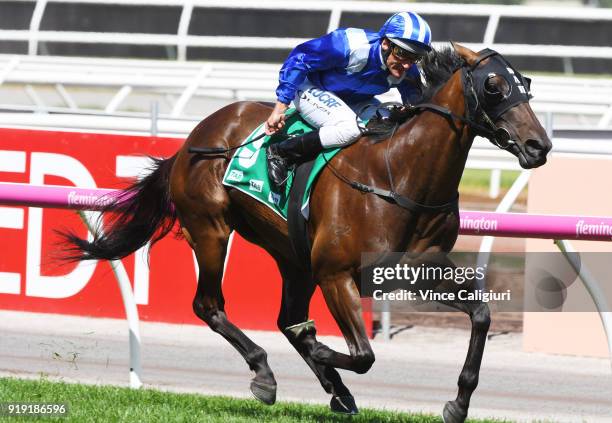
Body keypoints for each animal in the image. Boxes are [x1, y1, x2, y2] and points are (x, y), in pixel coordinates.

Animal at [61, 44, 548, 423]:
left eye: (524, 83)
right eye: (493, 86)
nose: (539, 146)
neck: (400, 173)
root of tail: (191, 140)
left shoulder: (417, 268)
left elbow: (481, 315)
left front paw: (458, 403)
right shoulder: (336, 273)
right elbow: (363, 354)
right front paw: (321, 352)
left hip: (291, 254)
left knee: (285, 318)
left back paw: (335, 389)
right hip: (211, 227)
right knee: (210, 305)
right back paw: (267, 374)